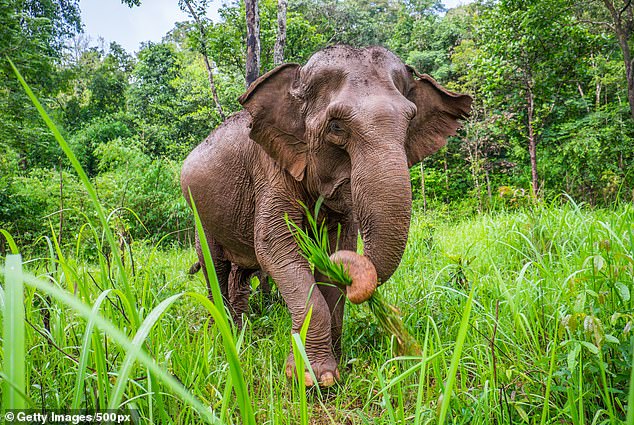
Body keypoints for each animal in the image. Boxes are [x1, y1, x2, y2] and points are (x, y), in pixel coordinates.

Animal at [180, 44, 472, 386]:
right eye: (336, 127)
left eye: (410, 121)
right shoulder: (270, 170)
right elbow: (275, 246)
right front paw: (310, 377)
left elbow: (337, 248)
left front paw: (336, 365)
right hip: (200, 217)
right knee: (216, 267)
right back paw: (226, 335)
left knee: (240, 273)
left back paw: (244, 332)